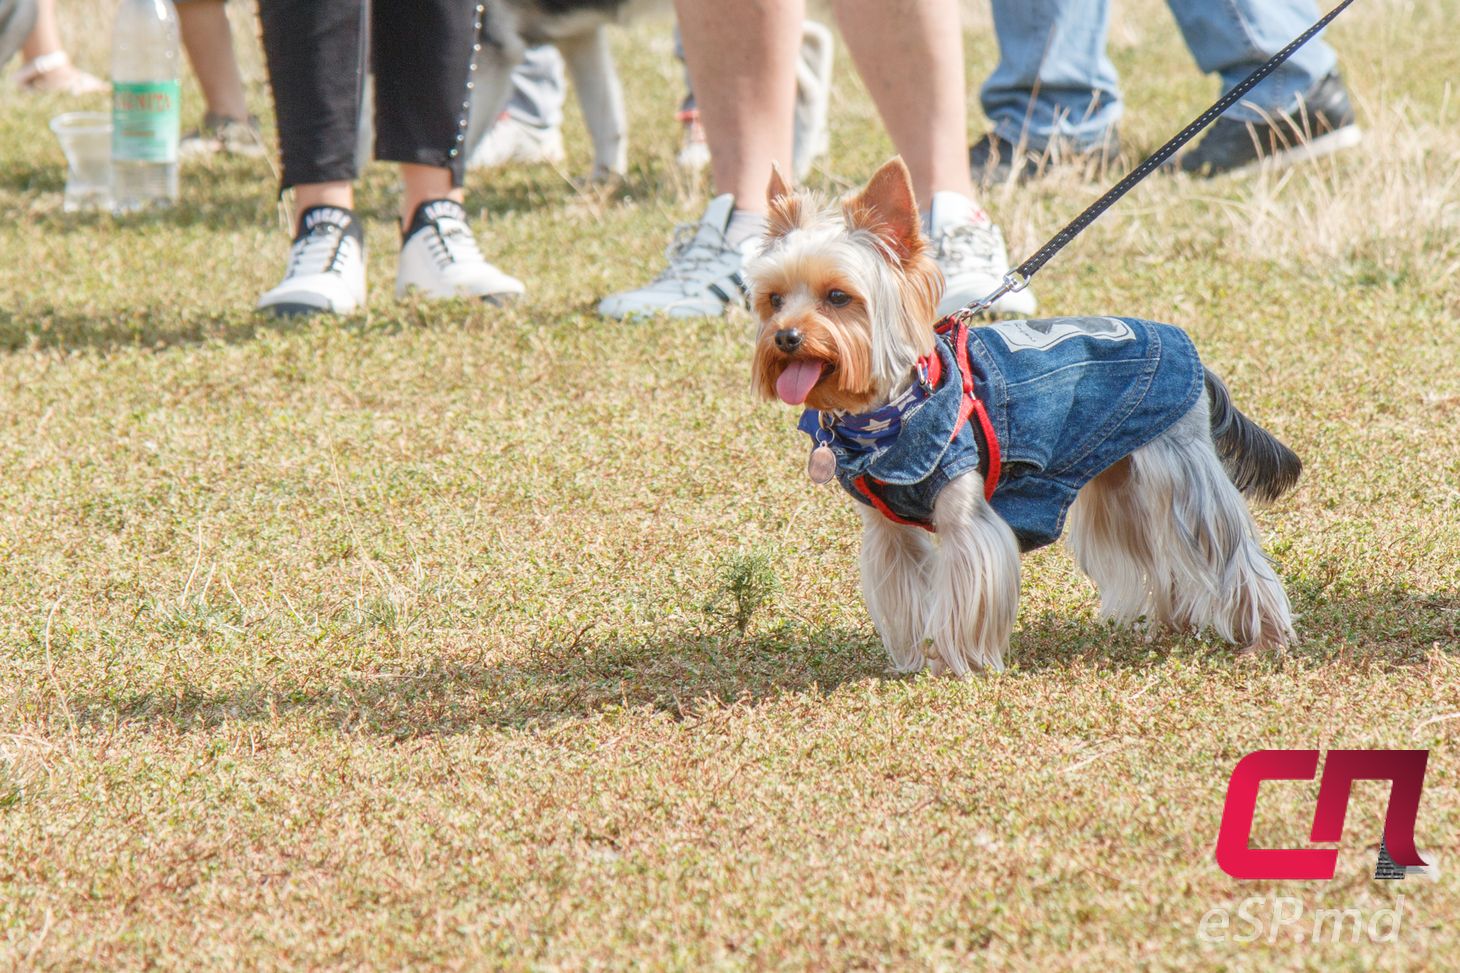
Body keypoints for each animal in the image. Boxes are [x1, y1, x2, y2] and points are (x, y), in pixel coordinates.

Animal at [753, 159, 1302, 674]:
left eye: (838, 297)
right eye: (773, 299)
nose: (786, 336)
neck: (895, 410)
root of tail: (1191, 353)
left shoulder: (964, 510)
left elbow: (967, 587)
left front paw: (954, 664)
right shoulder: (888, 532)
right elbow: (905, 593)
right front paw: (913, 661)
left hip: (1178, 463)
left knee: (1226, 550)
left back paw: (1265, 639)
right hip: (1120, 473)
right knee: (1160, 550)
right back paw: (1174, 624)